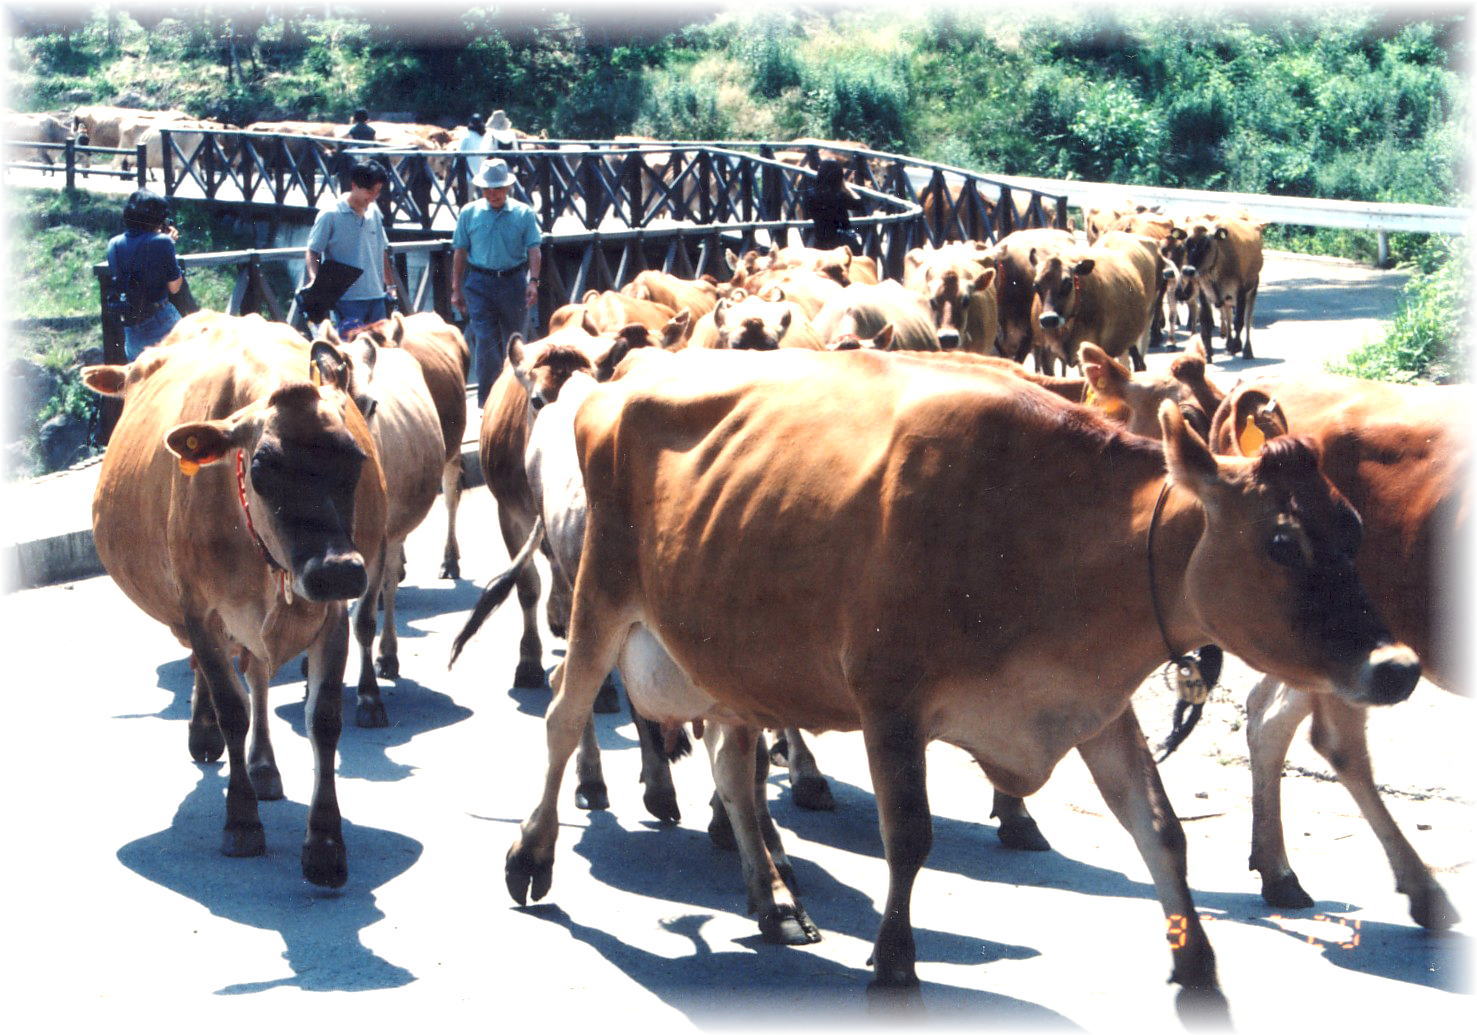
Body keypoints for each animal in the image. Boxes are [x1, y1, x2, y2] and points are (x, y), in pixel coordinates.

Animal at [81, 311, 386, 885]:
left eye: (356, 458)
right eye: (262, 464)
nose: (337, 570)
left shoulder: (331, 611)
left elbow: (323, 719)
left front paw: (325, 844)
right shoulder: (200, 610)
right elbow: (231, 707)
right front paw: (241, 821)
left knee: (260, 675)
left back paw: (263, 765)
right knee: (220, 675)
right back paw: (208, 737)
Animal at [505, 345, 1417, 1009]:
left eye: (1352, 525)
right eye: (1281, 542)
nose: (1398, 666)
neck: (1043, 536)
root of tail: (619, 379)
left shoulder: (1090, 703)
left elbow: (1161, 828)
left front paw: (1195, 964)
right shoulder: (889, 701)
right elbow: (908, 834)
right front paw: (894, 962)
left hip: (727, 648)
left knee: (733, 768)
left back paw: (774, 898)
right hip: (598, 597)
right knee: (562, 717)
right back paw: (532, 852)